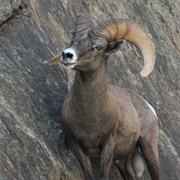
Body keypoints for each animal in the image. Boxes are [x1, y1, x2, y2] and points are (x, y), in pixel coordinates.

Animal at [42, 14, 159, 180]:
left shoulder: (108, 144)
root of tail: (149, 107)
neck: (90, 116)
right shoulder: (76, 144)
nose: (67, 55)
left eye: (98, 47)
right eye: (73, 39)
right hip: (121, 161)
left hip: (149, 148)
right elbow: (89, 175)